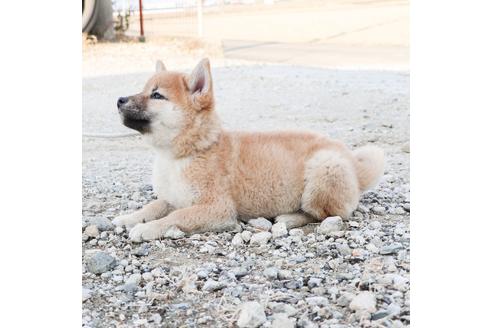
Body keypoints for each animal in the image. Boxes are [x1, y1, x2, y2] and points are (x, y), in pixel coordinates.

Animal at [112, 58, 384, 243]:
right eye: (143, 90)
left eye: (157, 95)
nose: (119, 100)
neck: (181, 154)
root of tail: (352, 161)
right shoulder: (172, 198)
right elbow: (153, 207)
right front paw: (130, 217)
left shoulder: (217, 208)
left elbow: (175, 217)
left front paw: (147, 228)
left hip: (323, 168)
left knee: (327, 215)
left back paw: (289, 218)